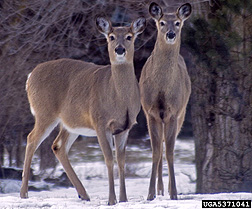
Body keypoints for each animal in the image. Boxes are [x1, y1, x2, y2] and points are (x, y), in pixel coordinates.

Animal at [20, 16, 147, 206]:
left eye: (129, 36)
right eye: (110, 37)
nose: (119, 49)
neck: (119, 98)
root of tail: (29, 77)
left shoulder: (125, 127)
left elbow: (121, 160)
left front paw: (124, 199)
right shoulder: (100, 122)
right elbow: (108, 159)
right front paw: (111, 200)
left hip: (70, 123)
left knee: (58, 146)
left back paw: (84, 194)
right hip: (45, 113)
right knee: (31, 139)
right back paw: (24, 193)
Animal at [139, 2, 192, 201]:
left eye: (177, 22)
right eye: (161, 22)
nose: (170, 34)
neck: (162, 88)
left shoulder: (173, 113)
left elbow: (170, 152)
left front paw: (174, 193)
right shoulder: (151, 113)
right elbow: (155, 152)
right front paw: (150, 194)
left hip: (182, 113)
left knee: (167, 147)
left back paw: (166, 189)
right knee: (160, 148)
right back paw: (160, 189)